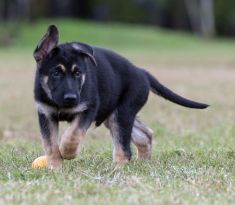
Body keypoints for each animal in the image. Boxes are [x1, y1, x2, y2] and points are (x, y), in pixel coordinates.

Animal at [33, 25, 209, 169]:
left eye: (77, 73)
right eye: (56, 73)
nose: (71, 98)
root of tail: (142, 72)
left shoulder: (88, 109)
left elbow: (73, 133)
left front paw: (67, 152)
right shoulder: (46, 114)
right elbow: (50, 144)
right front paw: (55, 166)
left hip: (121, 113)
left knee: (124, 148)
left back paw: (119, 167)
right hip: (115, 114)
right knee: (144, 135)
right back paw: (142, 162)